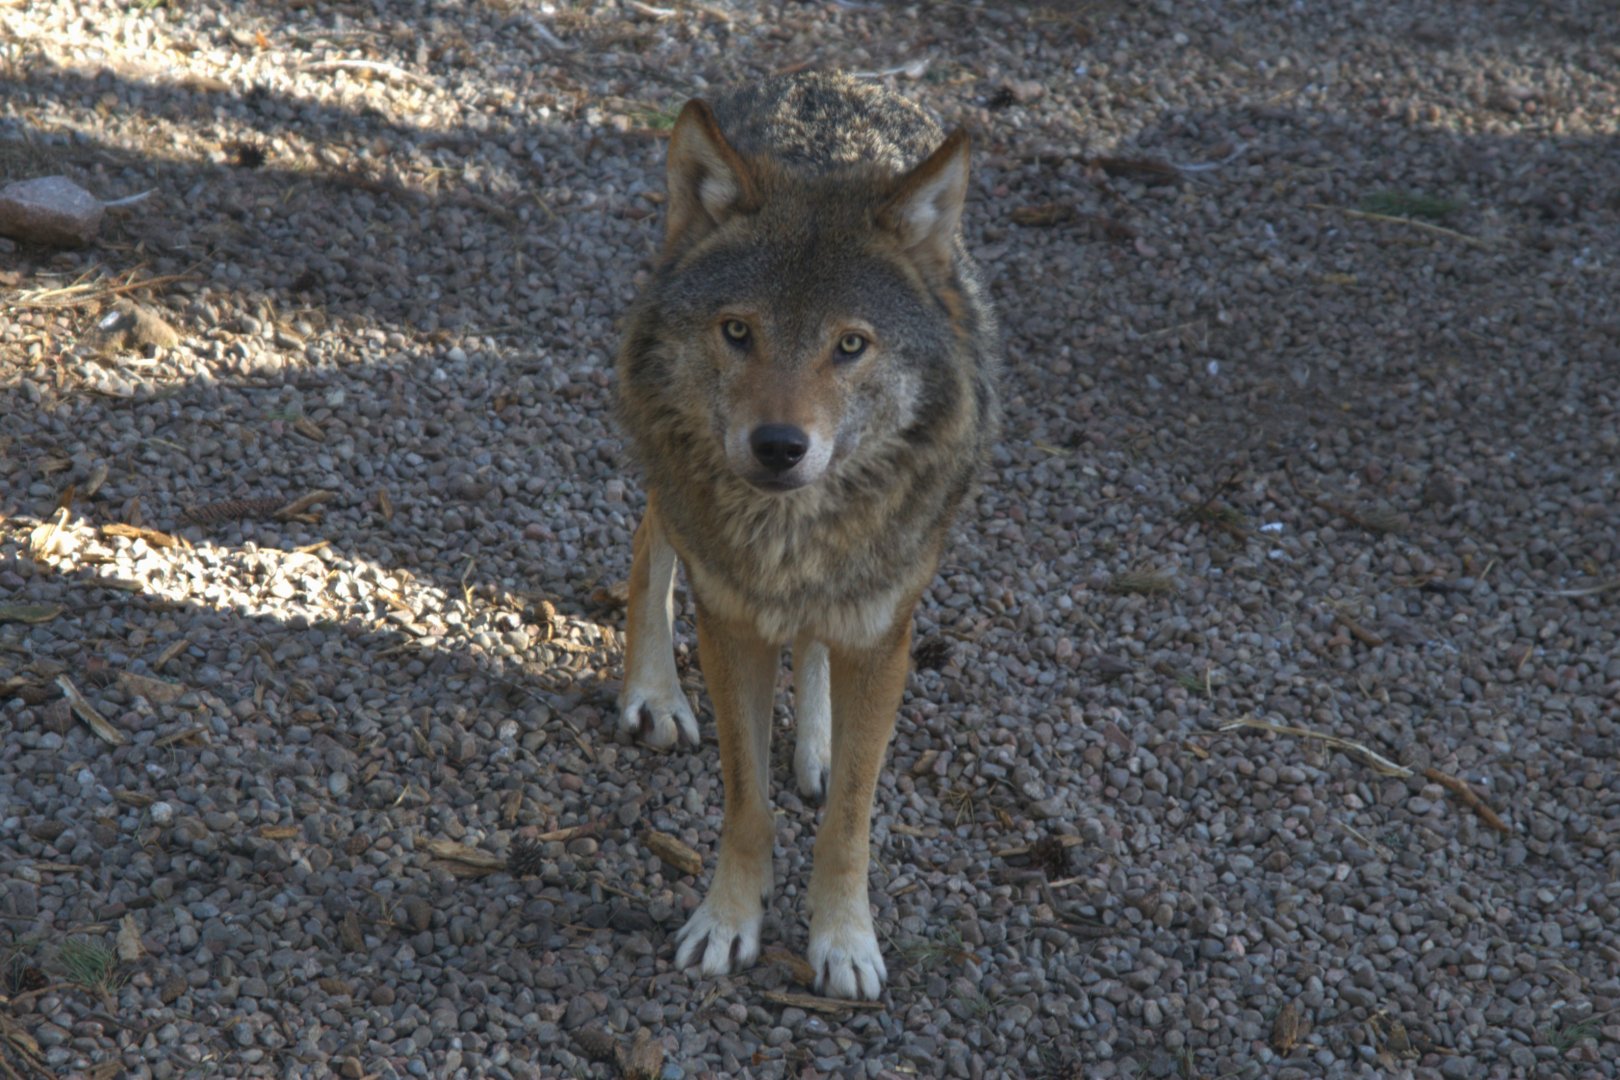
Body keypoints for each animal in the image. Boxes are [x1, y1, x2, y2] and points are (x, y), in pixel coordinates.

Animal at [613, 71, 1000, 1000]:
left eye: (850, 345)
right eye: (737, 330)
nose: (779, 446)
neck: (790, 540)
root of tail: (825, 78)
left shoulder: (886, 635)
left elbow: (853, 813)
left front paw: (844, 940)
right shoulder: (731, 624)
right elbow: (746, 800)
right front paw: (728, 924)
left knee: (818, 647)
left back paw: (817, 747)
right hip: (668, 476)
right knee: (651, 540)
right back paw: (654, 696)